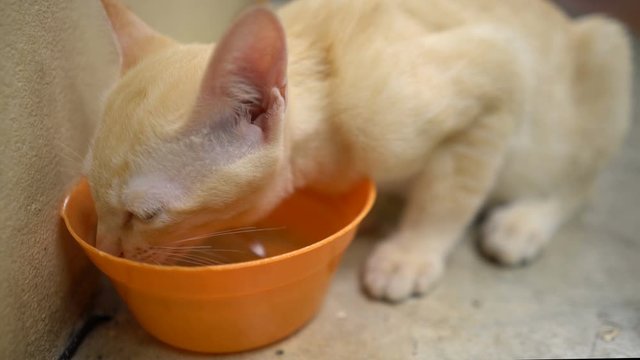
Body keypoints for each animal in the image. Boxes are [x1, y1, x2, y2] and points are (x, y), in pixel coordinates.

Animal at [87, 0, 632, 300]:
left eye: (145, 214)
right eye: (94, 196)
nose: (106, 246)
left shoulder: (501, 67)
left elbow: (449, 196)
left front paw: (411, 254)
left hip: (606, 49)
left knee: (580, 182)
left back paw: (525, 222)